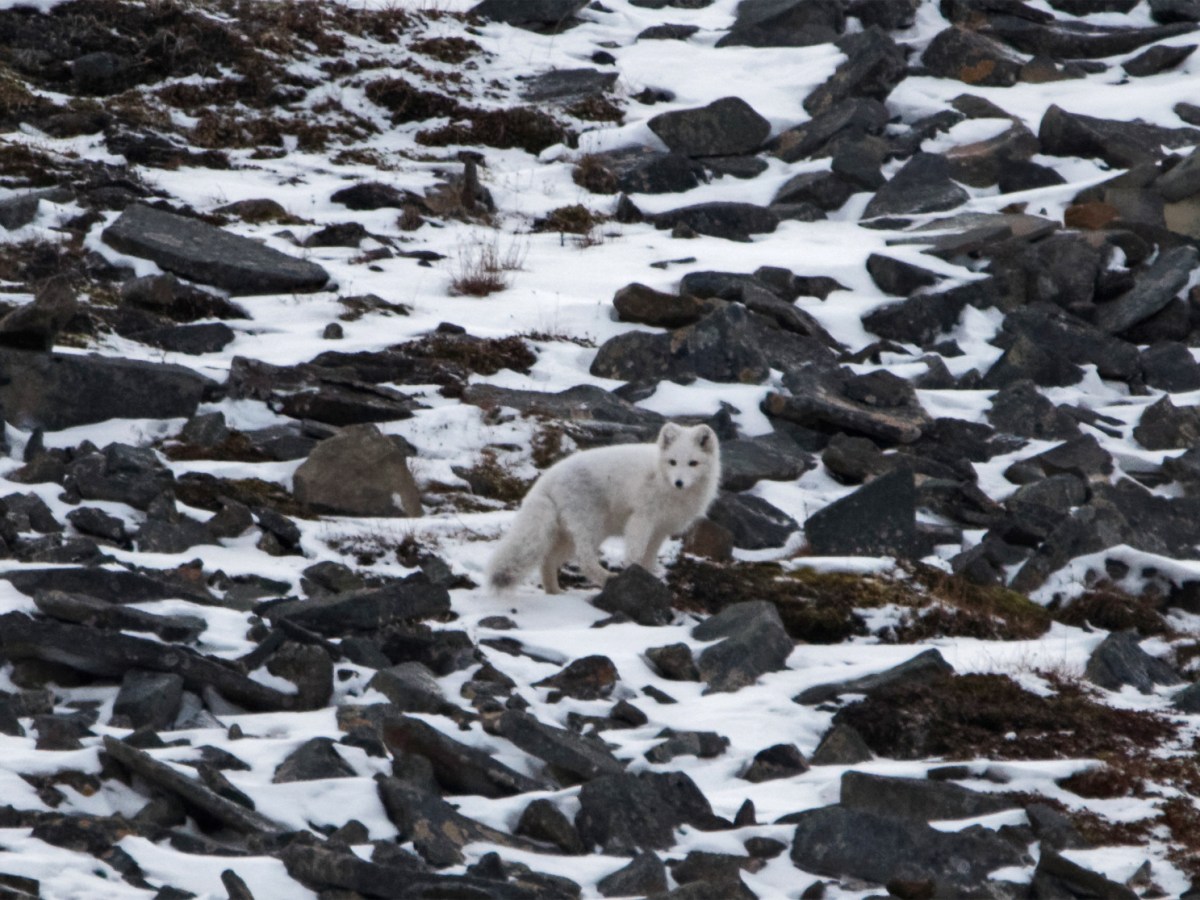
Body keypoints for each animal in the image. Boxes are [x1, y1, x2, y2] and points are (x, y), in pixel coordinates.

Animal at [486, 422, 720, 593]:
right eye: (672, 462)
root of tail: (546, 479)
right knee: (584, 560)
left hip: (569, 536)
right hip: (591, 527)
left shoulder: (660, 530)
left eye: (693, 463)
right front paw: (635, 576)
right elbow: (635, 554)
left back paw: (555, 592)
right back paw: (607, 578)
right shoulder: (641, 519)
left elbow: (649, 558)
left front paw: (648, 577)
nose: (679, 482)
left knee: (548, 560)